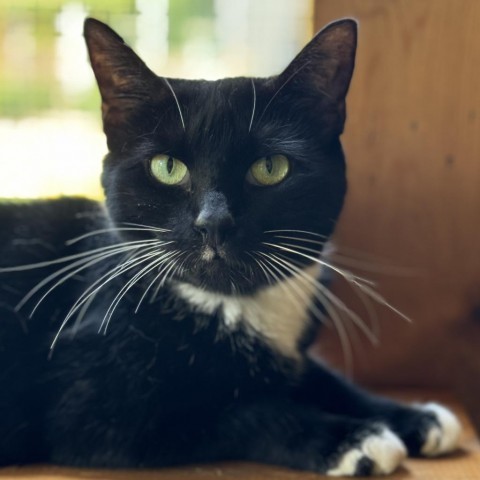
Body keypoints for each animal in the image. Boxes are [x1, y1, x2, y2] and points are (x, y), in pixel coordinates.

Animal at [0, 15, 464, 476]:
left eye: (270, 167)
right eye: (167, 167)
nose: (214, 223)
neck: (231, 305)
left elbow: (319, 376)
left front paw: (414, 416)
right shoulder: (94, 408)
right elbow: (242, 410)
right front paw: (354, 438)